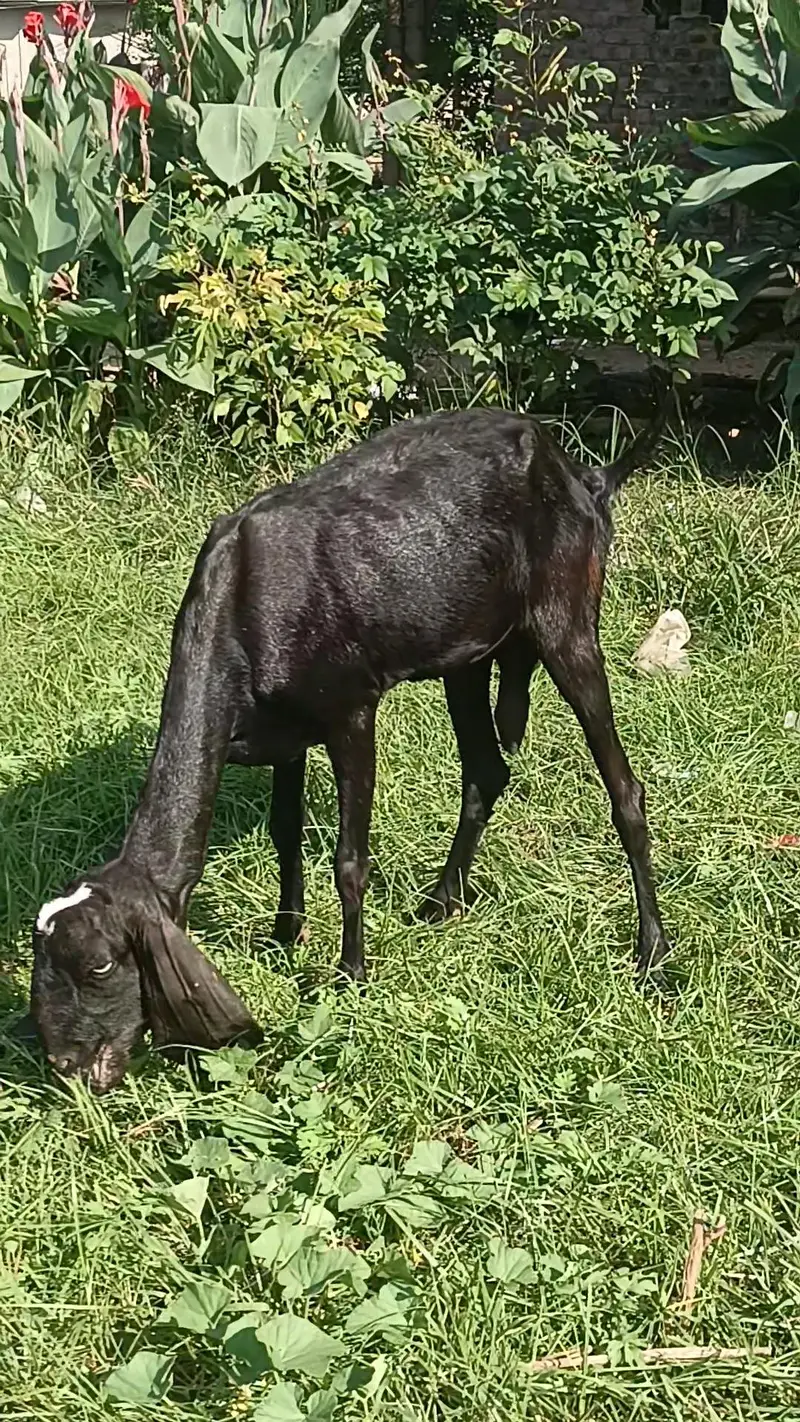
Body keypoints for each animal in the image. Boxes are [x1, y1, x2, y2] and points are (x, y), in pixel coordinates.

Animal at [31, 380, 672, 1091]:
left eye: (100, 964)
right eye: (40, 964)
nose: (64, 1063)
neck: (244, 602)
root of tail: (581, 474)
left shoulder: (350, 713)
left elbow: (348, 859)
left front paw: (350, 975)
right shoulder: (281, 734)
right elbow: (284, 833)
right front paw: (284, 937)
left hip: (567, 620)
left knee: (624, 787)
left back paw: (651, 953)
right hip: (467, 654)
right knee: (486, 768)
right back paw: (442, 900)